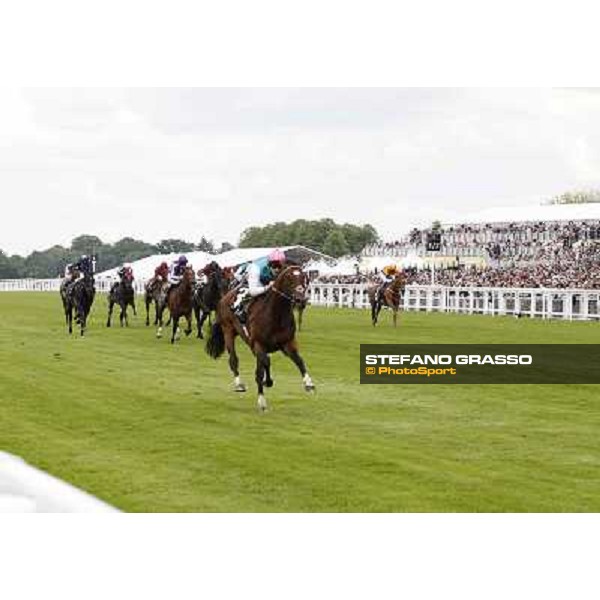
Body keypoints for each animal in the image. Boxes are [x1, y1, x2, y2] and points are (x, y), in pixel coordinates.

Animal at [206, 264, 316, 410]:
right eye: (290, 279)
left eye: (304, 278)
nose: (301, 300)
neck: (276, 315)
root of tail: (224, 297)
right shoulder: (258, 344)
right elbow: (264, 365)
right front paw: (262, 400)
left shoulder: (287, 343)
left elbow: (299, 360)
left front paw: (308, 383)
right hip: (228, 331)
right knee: (234, 360)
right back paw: (239, 384)